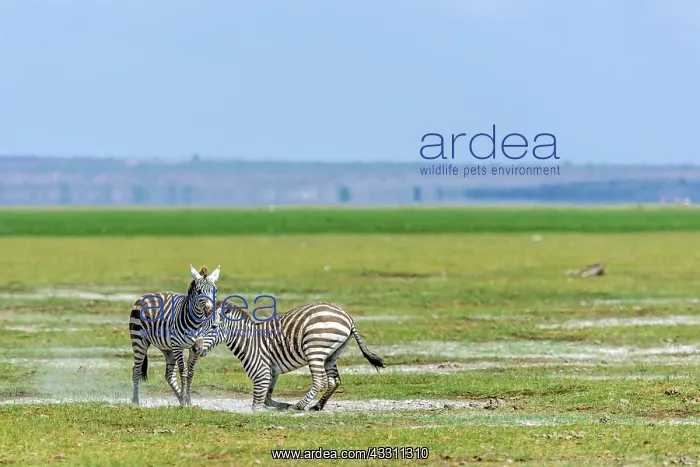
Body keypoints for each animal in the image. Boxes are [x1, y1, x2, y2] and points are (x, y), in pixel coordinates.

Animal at [129, 264, 221, 407]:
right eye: (199, 291)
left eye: (215, 290)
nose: (211, 312)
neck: (196, 323)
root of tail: (144, 296)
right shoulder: (178, 345)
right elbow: (183, 371)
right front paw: (185, 399)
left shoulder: (195, 347)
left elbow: (191, 373)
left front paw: (188, 401)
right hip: (139, 340)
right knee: (136, 370)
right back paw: (135, 401)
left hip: (167, 347)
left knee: (169, 375)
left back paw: (180, 400)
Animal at [195, 301, 385, 412]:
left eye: (213, 327)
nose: (195, 348)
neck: (249, 341)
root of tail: (347, 317)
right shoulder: (272, 373)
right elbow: (268, 399)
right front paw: (283, 405)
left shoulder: (261, 373)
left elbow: (257, 405)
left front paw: (268, 411)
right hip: (332, 354)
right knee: (334, 380)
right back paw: (317, 406)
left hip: (314, 348)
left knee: (320, 381)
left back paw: (299, 406)